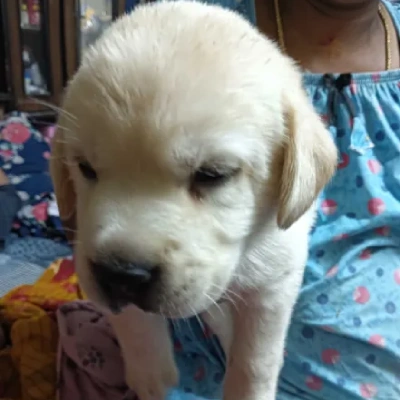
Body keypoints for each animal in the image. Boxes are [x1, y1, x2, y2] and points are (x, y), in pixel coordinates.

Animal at [50, 1, 338, 398]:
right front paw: (151, 375)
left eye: (212, 174)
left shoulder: (275, 277)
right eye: (85, 168)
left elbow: (255, 359)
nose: (122, 275)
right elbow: (135, 326)